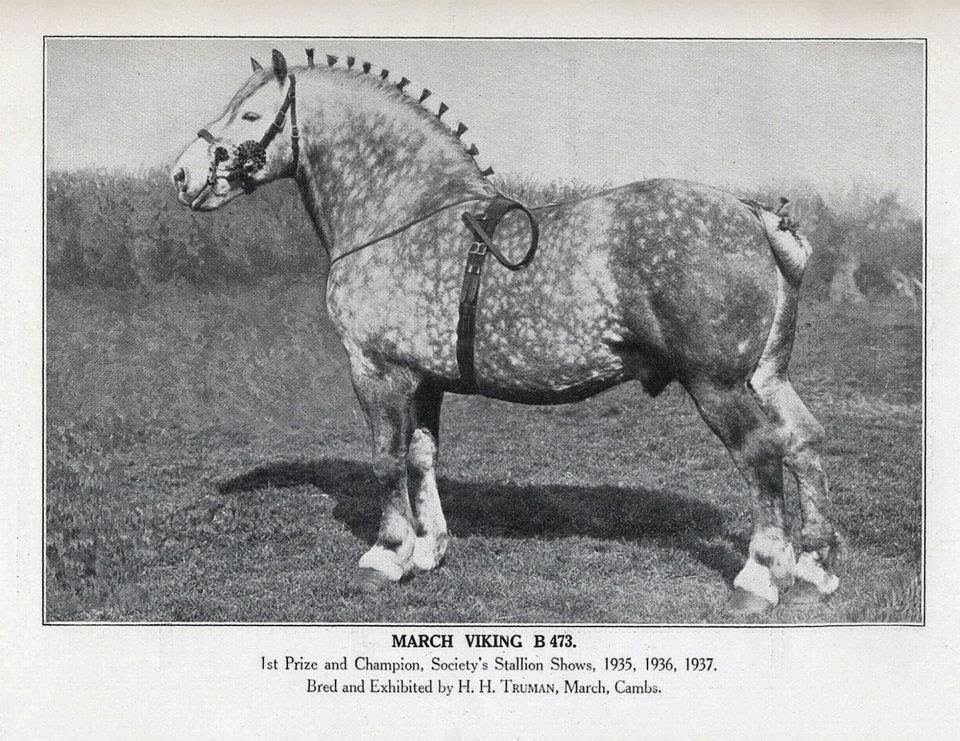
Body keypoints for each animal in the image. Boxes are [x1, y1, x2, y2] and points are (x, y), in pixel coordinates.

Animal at [171, 47, 840, 612]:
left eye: (250, 113)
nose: (181, 175)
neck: (404, 214)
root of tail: (753, 215)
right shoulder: (424, 379)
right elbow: (421, 457)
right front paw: (428, 549)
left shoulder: (376, 371)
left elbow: (386, 460)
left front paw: (386, 556)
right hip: (766, 376)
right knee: (804, 440)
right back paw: (814, 566)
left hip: (717, 384)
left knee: (761, 452)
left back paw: (759, 578)